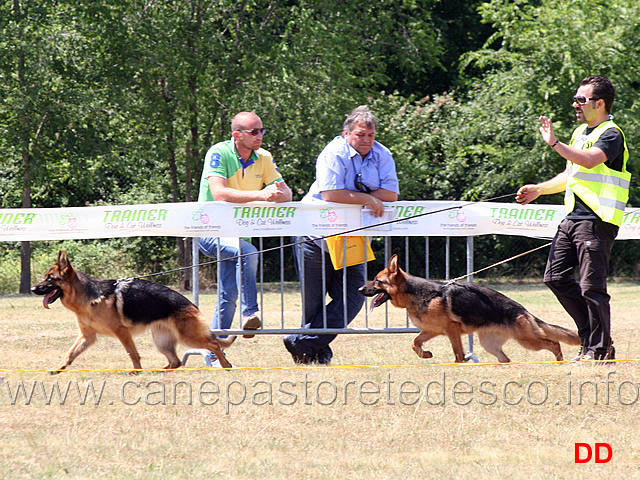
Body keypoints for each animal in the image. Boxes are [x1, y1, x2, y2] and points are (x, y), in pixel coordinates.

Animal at [30, 251, 235, 376]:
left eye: (50, 279)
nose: (32, 289)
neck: (91, 297)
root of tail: (192, 305)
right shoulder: (87, 336)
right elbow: (70, 354)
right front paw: (58, 369)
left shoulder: (122, 332)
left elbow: (132, 354)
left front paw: (137, 371)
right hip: (161, 341)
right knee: (176, 361)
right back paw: (160, 371)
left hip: (188, 336)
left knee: (214, 344)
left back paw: (226, 365)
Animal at [360, 253, 580, 362]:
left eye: (377, 281)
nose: (360, 289)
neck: (421, 295)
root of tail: (523, 310)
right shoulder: (431, 330)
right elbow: (415, 343)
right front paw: (426, 354)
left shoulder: (452, 331)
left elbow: (458, 354)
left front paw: (458, 364)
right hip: (490, 344)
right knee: (506, 359)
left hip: (527, 340)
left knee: (554, 343)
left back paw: (560, 360)